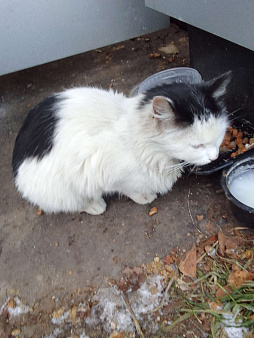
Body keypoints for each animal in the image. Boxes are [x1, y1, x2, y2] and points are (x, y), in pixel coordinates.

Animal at [12, 71, 232, 214]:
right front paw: (144, 196)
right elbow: (127, 187)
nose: (214, 157)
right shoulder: (103, 169)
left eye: (219, 138)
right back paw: (93, 205)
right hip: (56, 189)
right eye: (197, 146)